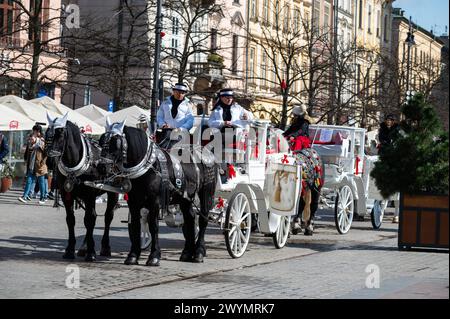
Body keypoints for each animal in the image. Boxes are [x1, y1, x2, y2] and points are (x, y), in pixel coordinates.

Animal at [45, 115, 118, 262]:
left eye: (61, 134)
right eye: (47, 134)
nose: (50, 161)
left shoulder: (90, 195)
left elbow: (89, 220)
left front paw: (91, 253)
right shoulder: (66, 194)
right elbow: (71, 220)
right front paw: (70, 250)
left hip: (112, 193)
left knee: (107, 217)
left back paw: (105, 247)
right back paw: (84, 247)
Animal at [99, 122, 218, 268]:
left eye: (116, 143)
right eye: (101, 140)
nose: (101, 167)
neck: (148, 168)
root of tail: (205, 151)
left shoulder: (154, 202)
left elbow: (153, 226)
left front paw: (154, 256)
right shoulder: (133, 202)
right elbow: (136, 226)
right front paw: (133, 256)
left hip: (206, 193)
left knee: (203, 219)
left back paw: (199, 252)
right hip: (186, 198)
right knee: (190, 218)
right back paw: (187, 252)